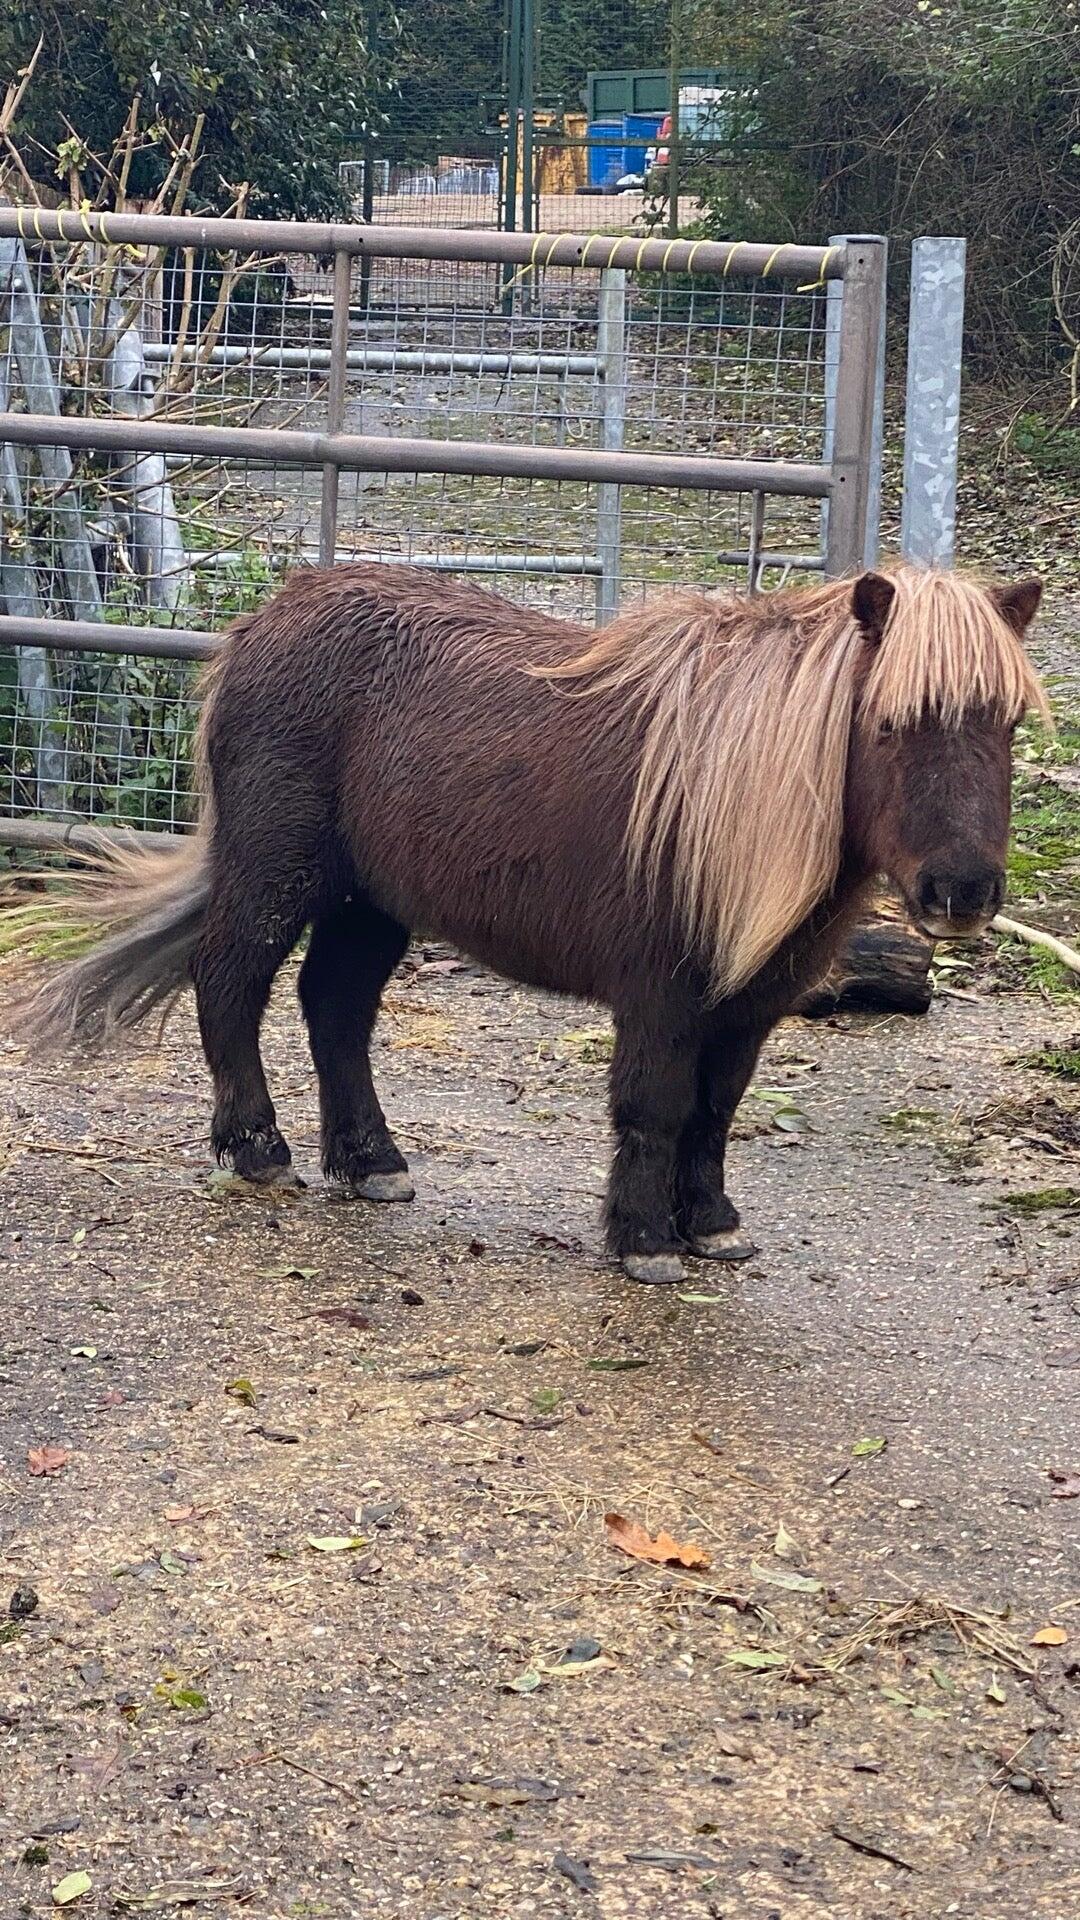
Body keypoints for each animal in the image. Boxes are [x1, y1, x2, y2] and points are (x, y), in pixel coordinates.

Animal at [18, 568, 1045, 1290]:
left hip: (370, 903)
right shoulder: (661, 995)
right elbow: (656, 1105)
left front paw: (712, 1225)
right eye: (889, 725)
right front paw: (645, 1241)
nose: (961, 893)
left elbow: (716, 1110)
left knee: (334, 1008)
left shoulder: (751, 1001)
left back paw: (372, 1163)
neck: (724, 795)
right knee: (231, 980)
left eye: (1007, 726)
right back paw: (259, 1149)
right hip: (278, 874)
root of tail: (264, 621)